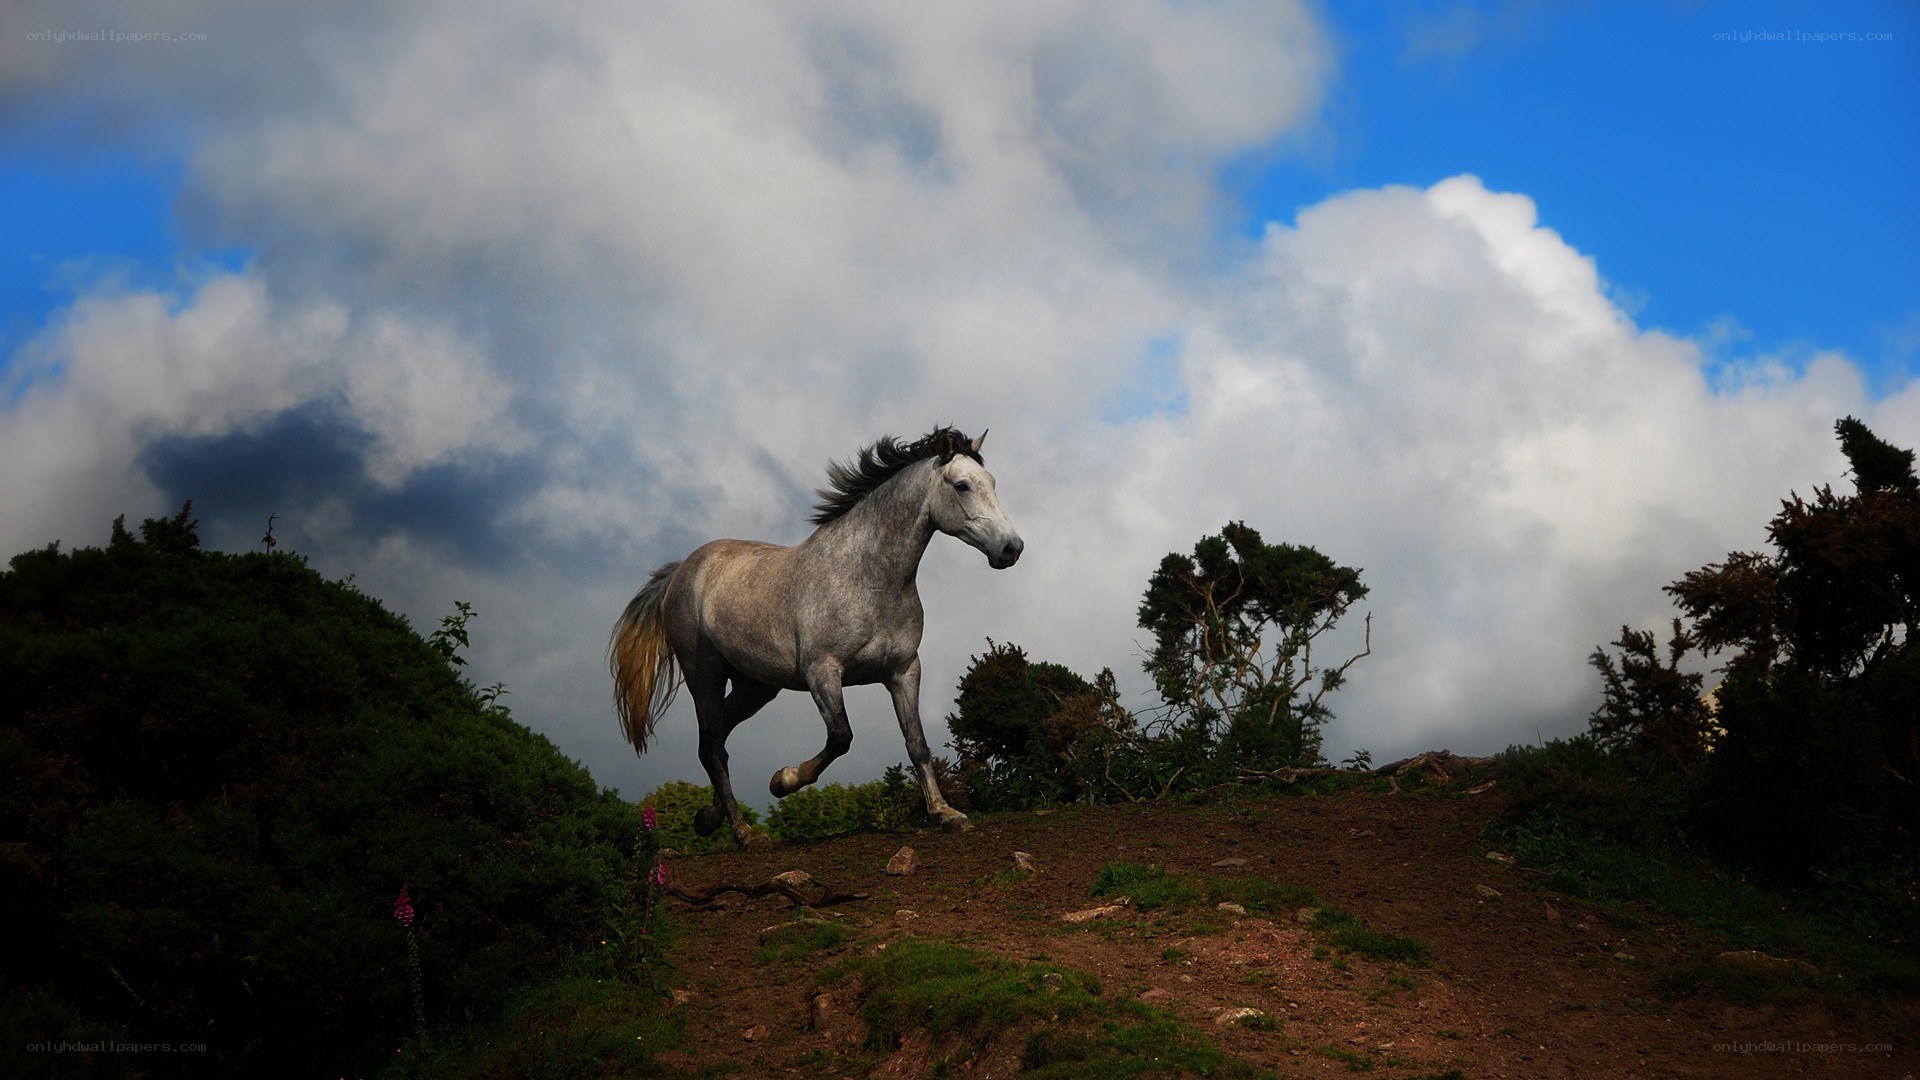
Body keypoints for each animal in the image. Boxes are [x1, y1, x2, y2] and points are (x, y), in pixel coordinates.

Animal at [609, 426, 1024, 847]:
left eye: (991, 482)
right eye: (962, 485)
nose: (1011, 548)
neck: (868, 578)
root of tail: (681, 572)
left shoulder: (904, 671)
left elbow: (917, 743)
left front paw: (945, 814)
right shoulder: (822, 671)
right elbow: (841, 736)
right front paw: (783, 780)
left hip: (755, 686)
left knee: (715, 737)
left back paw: (709, 818)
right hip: (704, 676)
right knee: (713, 748)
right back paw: (745, 834)